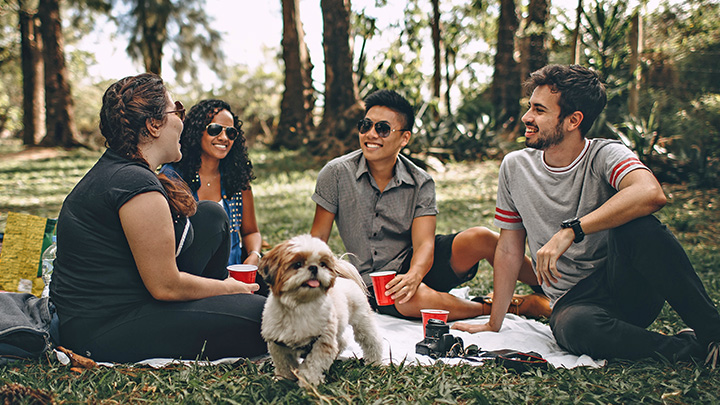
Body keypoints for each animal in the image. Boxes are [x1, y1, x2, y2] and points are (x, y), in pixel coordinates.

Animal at [258, 235, 382, 386]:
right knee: (341, 342)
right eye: (297, 264)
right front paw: (284, 379)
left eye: (322, 264)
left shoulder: (322, 341)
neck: (300, 306)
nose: (314, 267)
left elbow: (313, 364)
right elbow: (284, 364)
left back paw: (374, 361)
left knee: (372, 340)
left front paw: (308, 382)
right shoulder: (278, 344)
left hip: (362, 321)